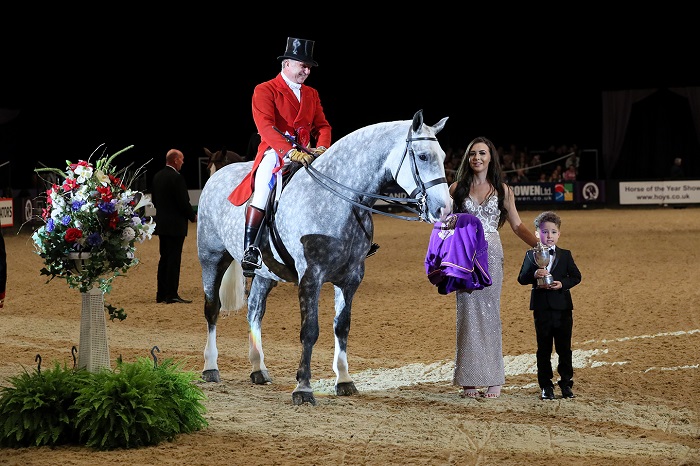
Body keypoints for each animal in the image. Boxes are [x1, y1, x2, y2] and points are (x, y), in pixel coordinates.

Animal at [194, 110, 452, 404]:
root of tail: (216, 177)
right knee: (212, 309)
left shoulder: (350, 278)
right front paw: (303, 388)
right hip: (212, 259)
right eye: (423, 156)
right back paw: (210, 367)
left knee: (254, 311)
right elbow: (310, 330)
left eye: (443, 156)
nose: (444, 209)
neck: (340, 201)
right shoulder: (311, 276)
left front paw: (344, 380)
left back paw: (258, 369)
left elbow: (342, 326)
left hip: (265, 273)